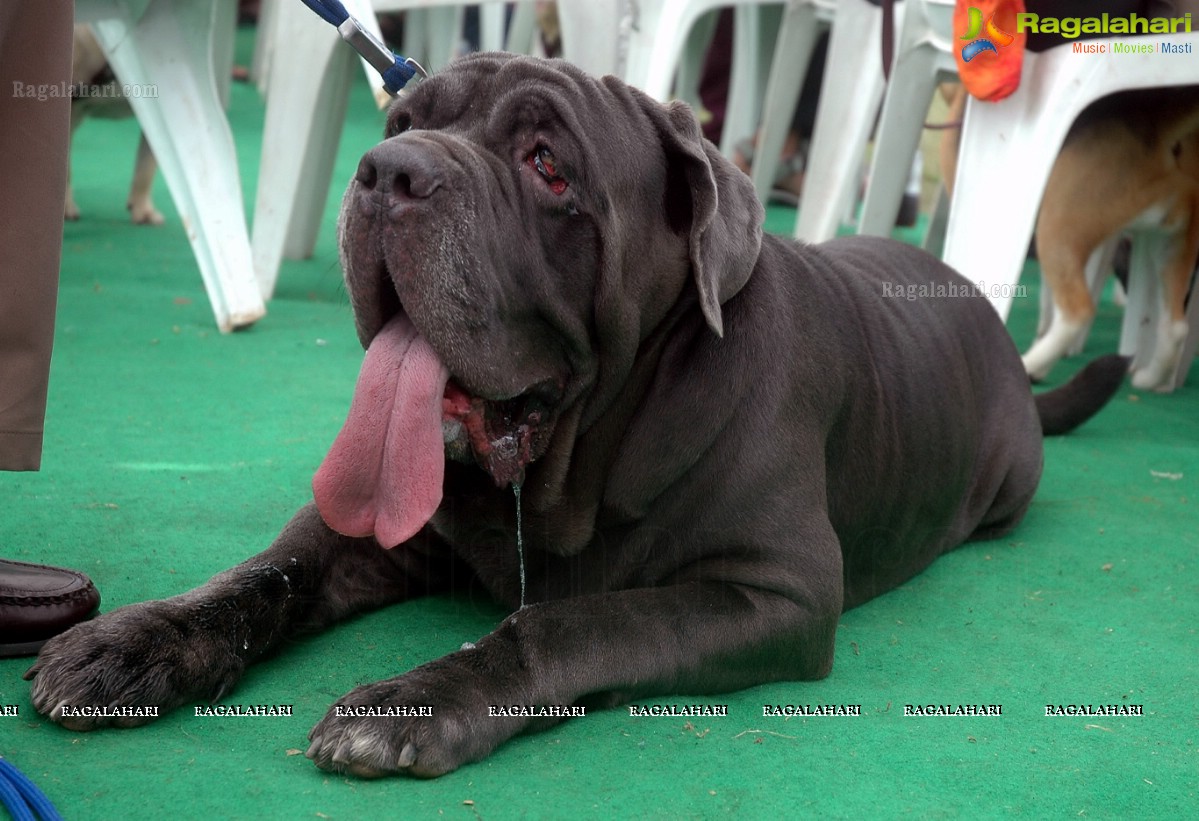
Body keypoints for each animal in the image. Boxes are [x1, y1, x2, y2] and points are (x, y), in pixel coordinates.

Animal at [23, 56, 1122, 776]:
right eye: (397, 119)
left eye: (548, 165)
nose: (389, 172)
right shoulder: (370, 531)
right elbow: (266, 571)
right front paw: (136, 638)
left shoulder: (771, 591)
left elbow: (569, 620)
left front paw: (417, 697)